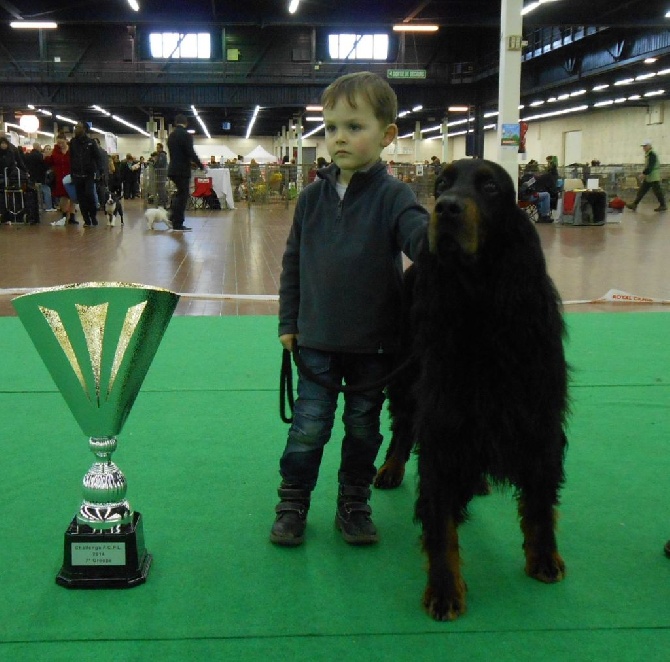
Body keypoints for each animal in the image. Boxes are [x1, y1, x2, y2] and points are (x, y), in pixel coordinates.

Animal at [376, 160, 568, 624]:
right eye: (443, 182)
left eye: (491, 187)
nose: (444, 208)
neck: (481, 303)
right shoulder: (444, 418)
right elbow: (441, 518)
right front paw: (445, 588)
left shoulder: (540, 418)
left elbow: (539, 500)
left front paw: (543, 557)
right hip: (407, 375)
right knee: (404, 426)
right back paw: (390, 468)